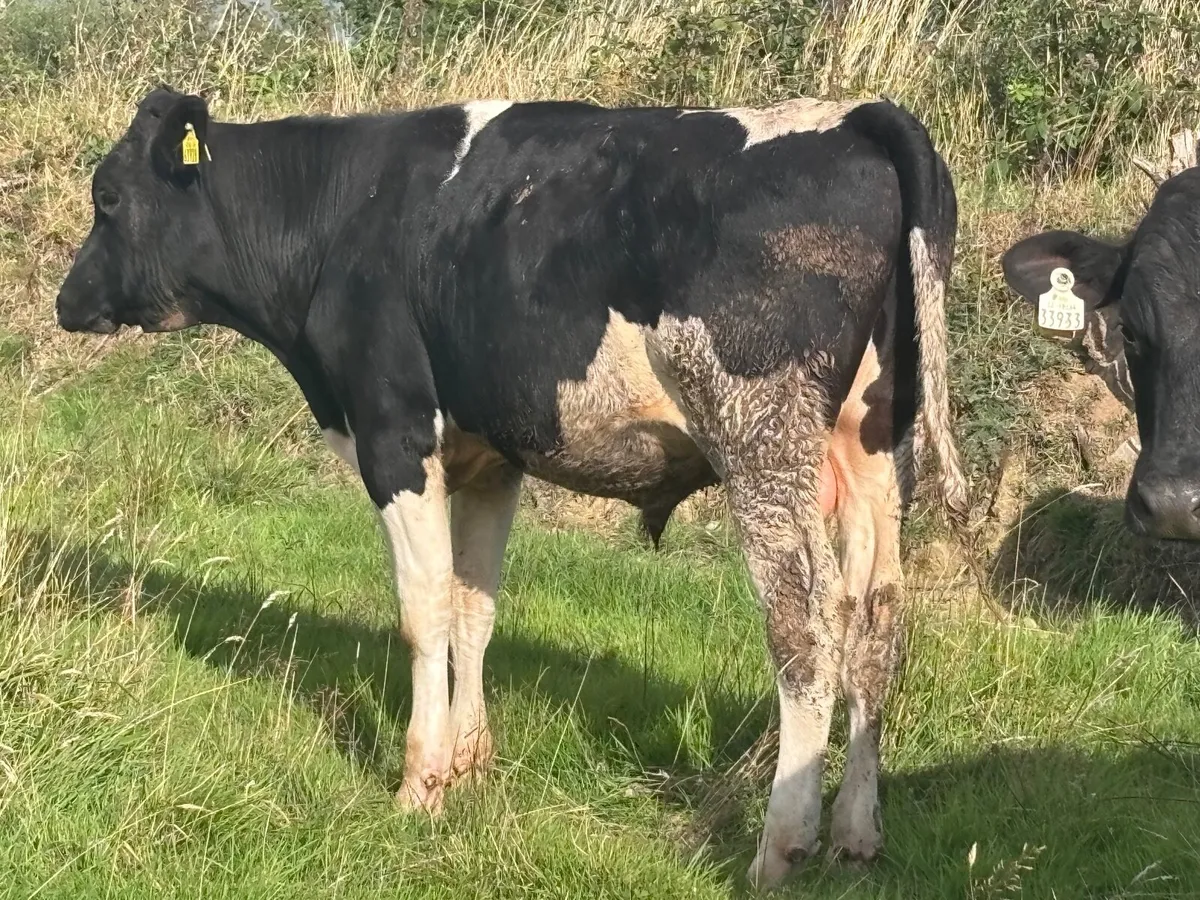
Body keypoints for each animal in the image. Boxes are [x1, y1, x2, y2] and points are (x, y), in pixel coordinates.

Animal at [54, 86, 967, 889]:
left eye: (107, 196)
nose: (66, 302)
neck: (343, 214)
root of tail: (852, 114)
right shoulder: (491, 461)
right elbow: (474, 607)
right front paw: (470, 764)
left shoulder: (394, 436)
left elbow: (424, 610)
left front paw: (420, 785)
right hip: (874, 451)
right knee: (878, 621)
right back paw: (856, 831)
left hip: (761, 438)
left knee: (805, 626)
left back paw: (780, 846)